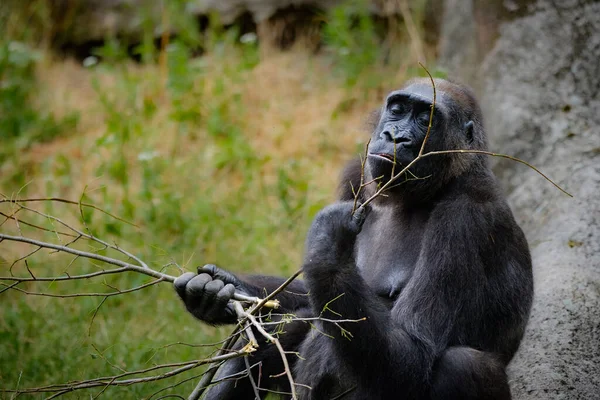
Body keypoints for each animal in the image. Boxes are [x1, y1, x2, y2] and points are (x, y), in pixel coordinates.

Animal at [175, 78, 536, 400]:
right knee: (291, 322)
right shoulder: (357, 178)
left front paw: (328, 242)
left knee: (462, 364)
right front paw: (220, 288)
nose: (394, 136)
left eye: (426, 118)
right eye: (397, 109)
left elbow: (414, 353)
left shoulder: (467, 218)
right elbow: (310, 298)